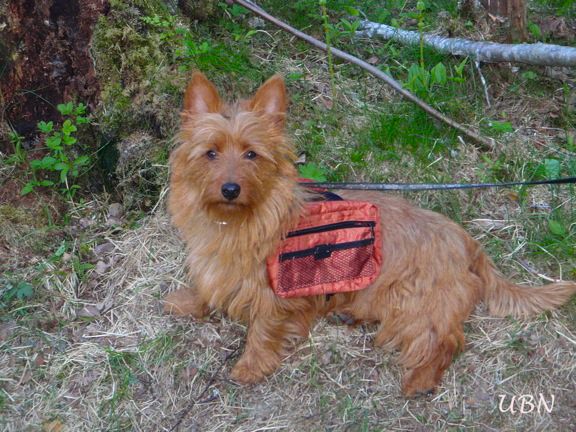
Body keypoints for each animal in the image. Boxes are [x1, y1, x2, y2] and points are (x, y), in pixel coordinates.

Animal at [163, 72, 576, 396]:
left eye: (251, 154)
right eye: (211, 153)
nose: (230, 189)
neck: (238, 221)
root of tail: (466, 241)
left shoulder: (276, 294)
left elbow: (263, 329)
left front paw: (251, 365)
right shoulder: (218, 267)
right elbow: (207, 289)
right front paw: (188, 301)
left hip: (417, 303)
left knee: (445, 340)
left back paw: (421, 379)